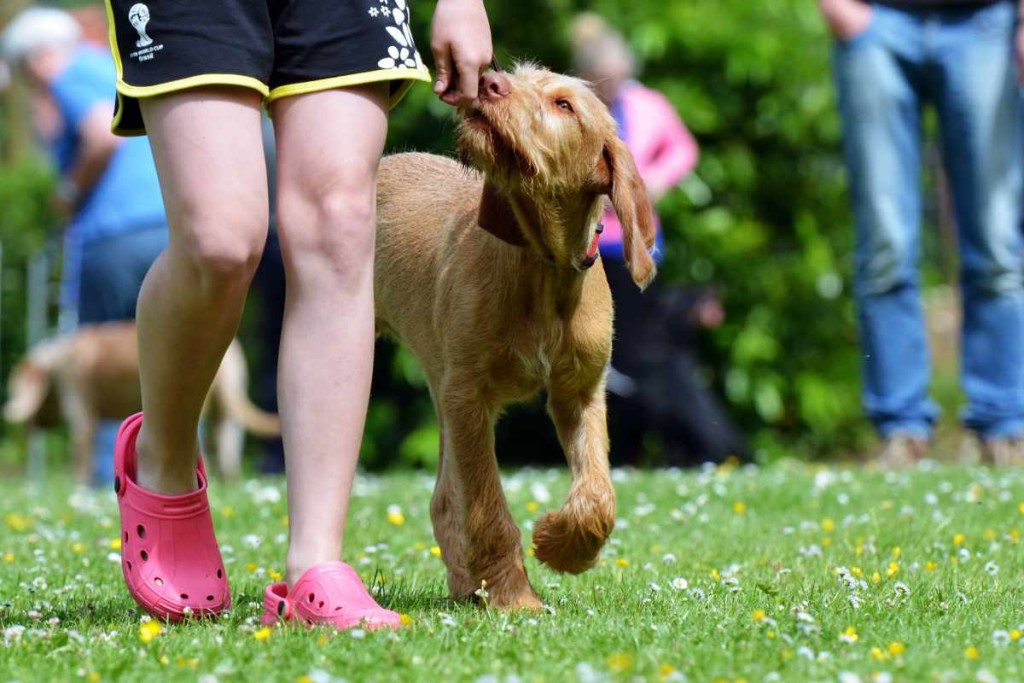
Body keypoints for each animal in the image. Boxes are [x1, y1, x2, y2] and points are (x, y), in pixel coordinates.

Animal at [2, 323, 282, 483]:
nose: (29, 428)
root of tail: (232, 352)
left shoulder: (82, 409)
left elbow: (80, 456)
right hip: (227, 411)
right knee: (228, 457)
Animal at [374, 63, 655, 610]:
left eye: (564, 105)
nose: (489, 81)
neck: (541, 266)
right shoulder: (469, 397)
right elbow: (488, 507)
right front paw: (514, 597)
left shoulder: (579, 392)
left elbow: (599, 494)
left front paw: (564, 547)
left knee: (444, 500)